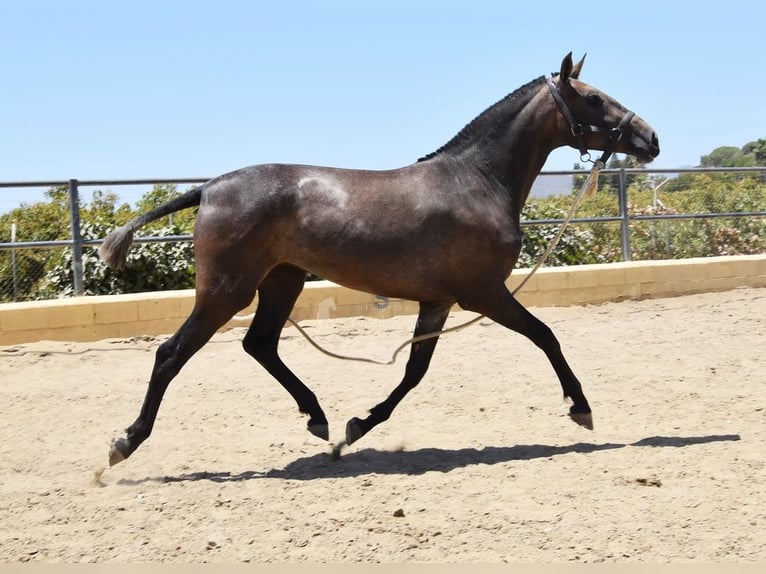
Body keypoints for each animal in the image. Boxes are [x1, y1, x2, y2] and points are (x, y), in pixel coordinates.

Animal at [99, 53, 660, 468]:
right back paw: (125, 443)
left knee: (260, 345)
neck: (476, 181)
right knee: (171, 354)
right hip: (226, 290)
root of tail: (211, 186)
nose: (650, 138)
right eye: (594, 98)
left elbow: (414, 372)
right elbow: (545, 335)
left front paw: (355, 428)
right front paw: (581, 408)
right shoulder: (485, 293)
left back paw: (318, 418)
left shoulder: (438, 301)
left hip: (282, 282)